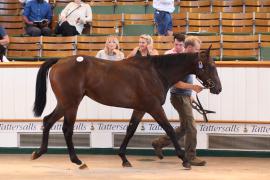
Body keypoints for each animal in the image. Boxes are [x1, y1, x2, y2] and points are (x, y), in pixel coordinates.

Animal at [31, 46, 221, 169]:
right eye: (211, 66)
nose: (218, 88)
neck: (156, 72)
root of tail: (60, 61)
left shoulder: (141, 108)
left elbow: (130, 130)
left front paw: (124, 158)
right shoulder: (154, 108)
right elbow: (169, 129)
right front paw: (184, 159)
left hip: (64, 103)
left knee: (48, 121)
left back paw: (39, 152)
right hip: (71, 103)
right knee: (67, 129)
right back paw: (77, 160)